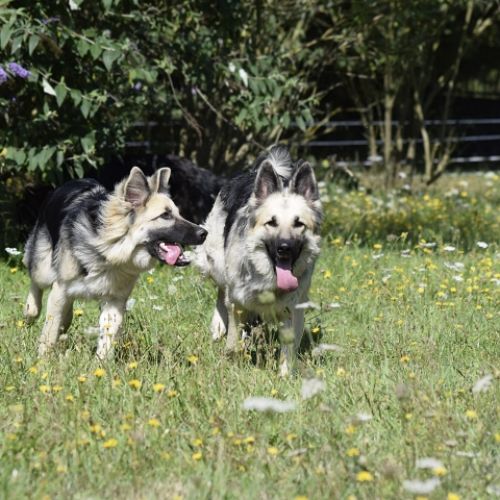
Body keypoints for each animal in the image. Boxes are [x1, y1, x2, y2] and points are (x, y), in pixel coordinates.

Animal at [23, 166, 207, 358]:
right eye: (165, 215)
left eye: (178, 213)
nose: (204, 233)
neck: (110, 250)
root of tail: (73, 181)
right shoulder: (60, 289)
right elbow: (49, 332)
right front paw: (43, 360)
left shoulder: (114, 302)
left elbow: (107, 336)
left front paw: (101, 364)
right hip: (43, 270)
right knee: (36, 285)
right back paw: (30, 310)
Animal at [195, 146, 322, 374]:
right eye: (271, 222)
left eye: (299, 224)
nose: (284, 249)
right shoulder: (237, 302)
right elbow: (233, 339)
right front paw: (233, 363)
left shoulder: (292, 310)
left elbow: (288, 347)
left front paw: (285, 376)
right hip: (217, 263)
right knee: (222, 292)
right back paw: (218, 325)